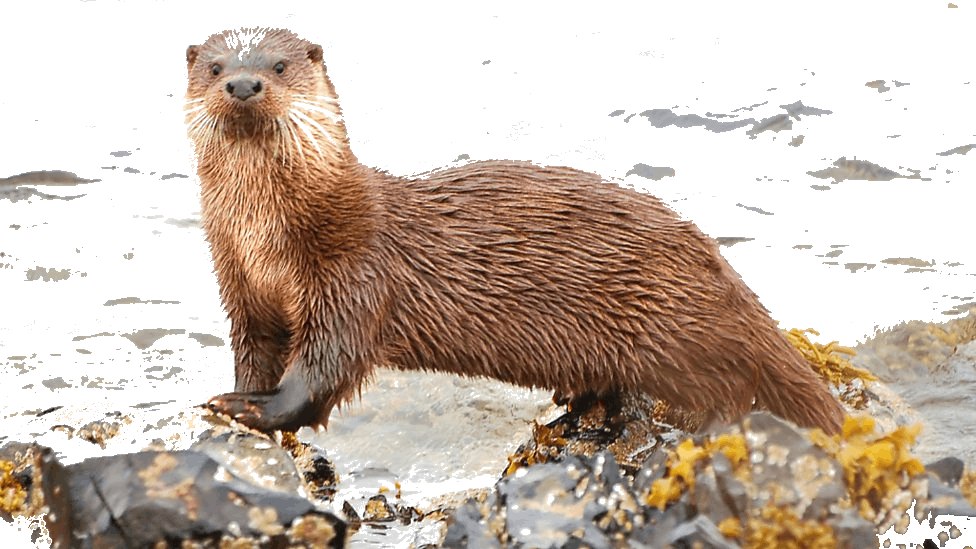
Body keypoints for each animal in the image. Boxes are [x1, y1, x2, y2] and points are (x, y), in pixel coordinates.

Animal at [185, 28, 845, 436]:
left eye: (278, 66)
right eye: (216, 67)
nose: (242, 84)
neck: (264, 237)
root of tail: (718, 266)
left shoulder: (350, 275)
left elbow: (322, 369)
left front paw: (251, 409)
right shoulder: (242, 290)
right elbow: (255, 353)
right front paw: (238, 395)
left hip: (675, 329)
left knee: (731, 383)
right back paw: (578, 407)